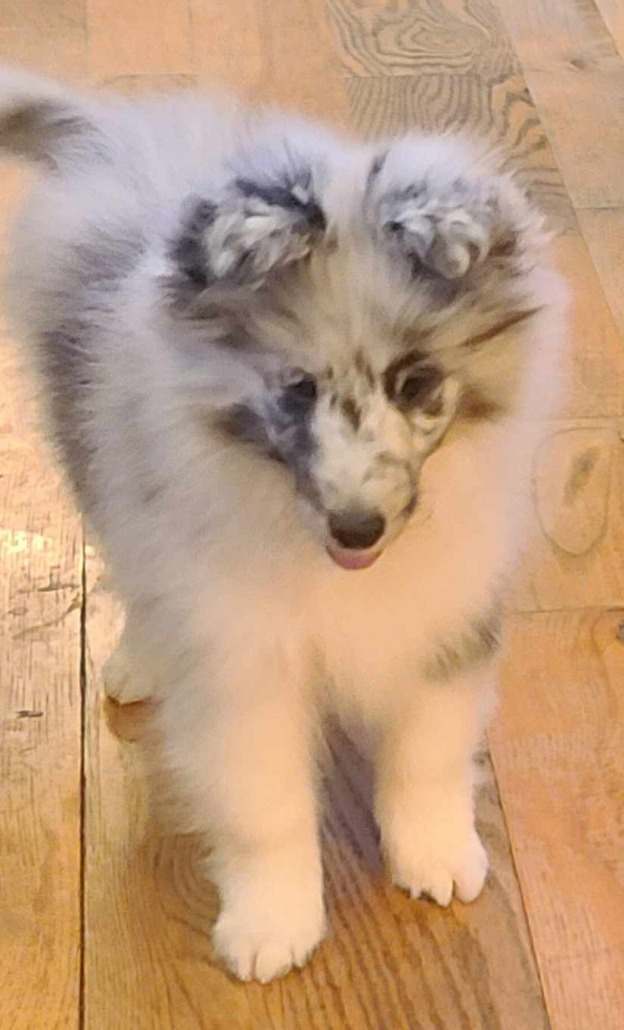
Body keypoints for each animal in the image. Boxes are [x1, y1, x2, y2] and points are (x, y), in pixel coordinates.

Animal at [0, 68, 567, 983]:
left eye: (417, 384)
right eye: (296, 390)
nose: (358, 529)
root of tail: (119, 129)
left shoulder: (447, 622)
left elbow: (429, 754)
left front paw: (438, 855)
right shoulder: (243, 667)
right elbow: (266, 810)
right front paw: (272, 923)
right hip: (103, 466)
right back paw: (139, 660)